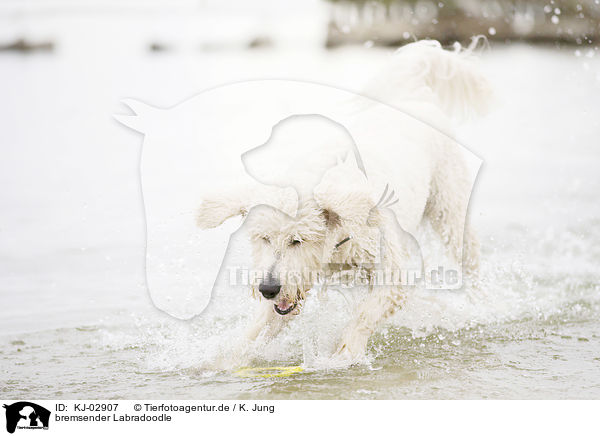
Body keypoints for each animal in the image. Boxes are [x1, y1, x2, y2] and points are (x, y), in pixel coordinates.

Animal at [197, 40, 492, 362]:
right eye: (263, 238)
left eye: (297, 241)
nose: (268, 288)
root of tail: (415, 97)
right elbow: (259, 329)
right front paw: (226, 359)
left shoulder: (391, 271)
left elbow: (367, 312)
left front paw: (347, 352)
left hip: (450, 210)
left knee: (470, 261)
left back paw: (481, 304)